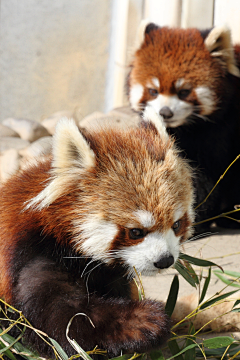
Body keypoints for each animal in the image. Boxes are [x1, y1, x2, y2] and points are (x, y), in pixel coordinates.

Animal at [0, 107, 194, 358]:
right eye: (135, 232)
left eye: (177, 224)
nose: (164, 260)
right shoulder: (32, 253)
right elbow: (57, 319)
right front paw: (141, 321)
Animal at [128, 22, 240, 232]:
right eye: (153, 91)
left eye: (184, 92)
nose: (165, 113)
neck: (187, 128)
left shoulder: (220, 133)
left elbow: (205, 176)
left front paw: (196, 219)